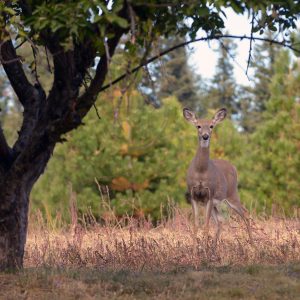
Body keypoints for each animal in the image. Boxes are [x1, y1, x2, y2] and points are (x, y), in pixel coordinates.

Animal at [183, 108, 253, 244]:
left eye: (211, 126)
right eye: (198, 126)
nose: (205, 136)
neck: (201, 172)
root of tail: (233, 167)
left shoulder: (210, 194)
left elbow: (206, 225)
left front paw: (203, 247)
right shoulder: (193, 195)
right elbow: (196, 225)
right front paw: (195, 248)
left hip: (232, 193)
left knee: (245, 214)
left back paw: (253, 244)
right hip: (217, 203)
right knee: (221, 221)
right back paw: (215, 246)